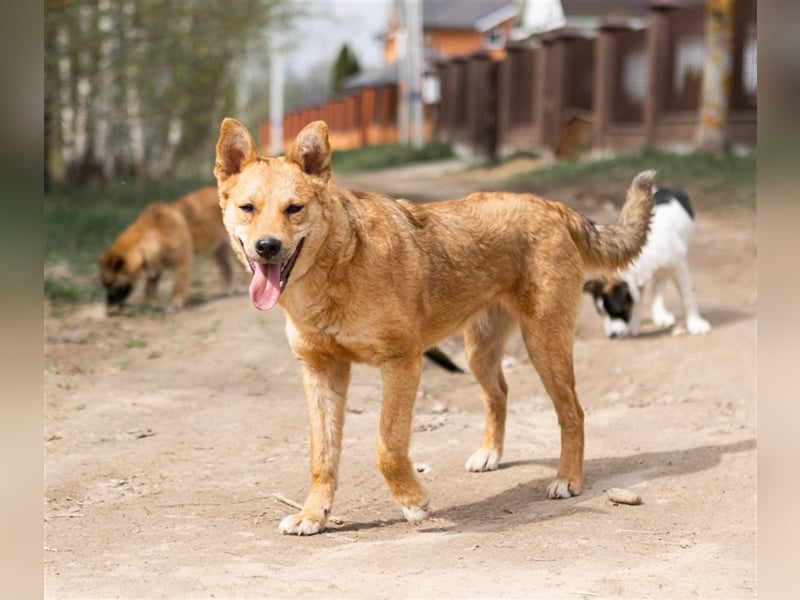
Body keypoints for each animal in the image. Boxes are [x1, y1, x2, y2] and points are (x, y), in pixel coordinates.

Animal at [97, 188, 233, 312]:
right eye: (105, 285)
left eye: (110, 284)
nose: (108, 308)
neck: (156, 233)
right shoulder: (154, 271)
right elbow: (149, 290)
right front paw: (147, 306)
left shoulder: (183, 264)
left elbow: (177, 286)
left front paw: (175, 304)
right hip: (218, 252)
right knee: (227, 269)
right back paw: (226, 290)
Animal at [214, 117, 656, 536]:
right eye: (248, 208)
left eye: (294, 208)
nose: (267, 247)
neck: (339, 264)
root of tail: (550, 205)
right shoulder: (320, 371)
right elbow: (321, 457)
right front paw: (313, 515)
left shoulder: (401, 363)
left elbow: (387, 447)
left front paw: (413, 501)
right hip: (480, 353)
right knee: (499, 395)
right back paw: (490, 453)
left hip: (544, 345)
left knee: (573, 413)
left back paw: (568, 479)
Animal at [580, 188, 712, 338]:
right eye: (601, 313)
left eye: (615, 311)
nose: (612, 335)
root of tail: (666, 189)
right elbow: (638, 298)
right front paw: (633, 325)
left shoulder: (678, 265)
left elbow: (687, 295)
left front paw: (695, 323)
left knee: (659, 285)